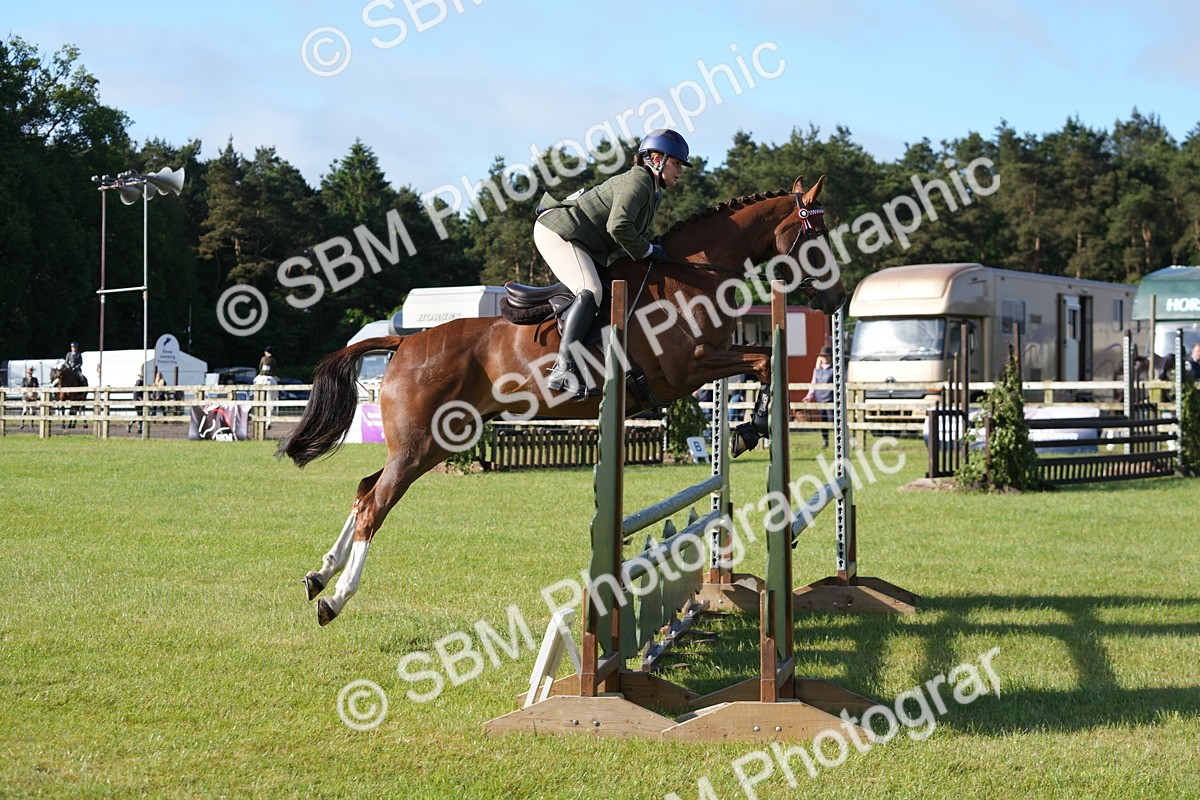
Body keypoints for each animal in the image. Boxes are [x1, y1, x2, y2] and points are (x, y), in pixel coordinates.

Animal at [279, 175, 845, 626]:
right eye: (816, 238)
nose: (837, 298)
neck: (695, 274)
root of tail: (405, 343)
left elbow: (758, 365)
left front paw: (748, 429)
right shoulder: (688, 369)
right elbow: (759, 364)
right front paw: (751, 428)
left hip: (439, 441)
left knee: (363, 490)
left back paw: (319, 574)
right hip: (419, 445)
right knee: (375, 504)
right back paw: (335, 599)